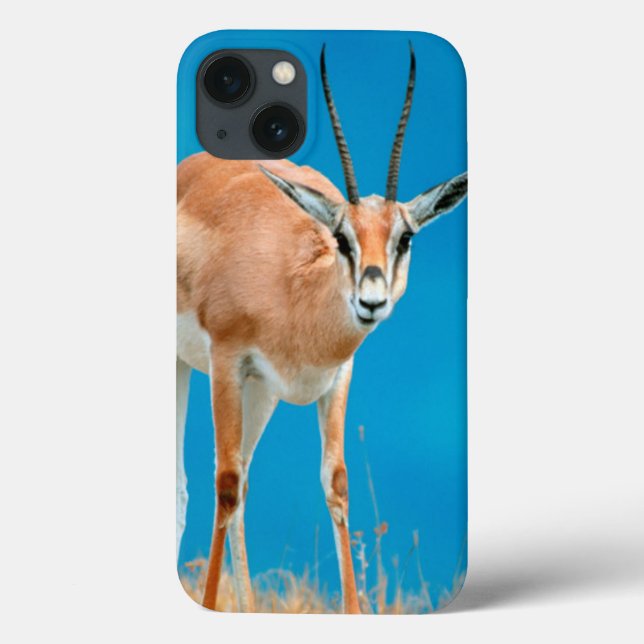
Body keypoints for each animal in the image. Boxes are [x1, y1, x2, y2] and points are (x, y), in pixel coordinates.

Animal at [176, 44, 467, 613]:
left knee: (245, 480)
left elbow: (335, 482)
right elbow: (224, 481)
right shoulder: (225, 361)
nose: (371, 301)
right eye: (341, 236)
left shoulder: (335, 376)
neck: (293, 292)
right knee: (202, 480)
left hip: (261, 392)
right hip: (186, 367)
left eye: (405, 237)